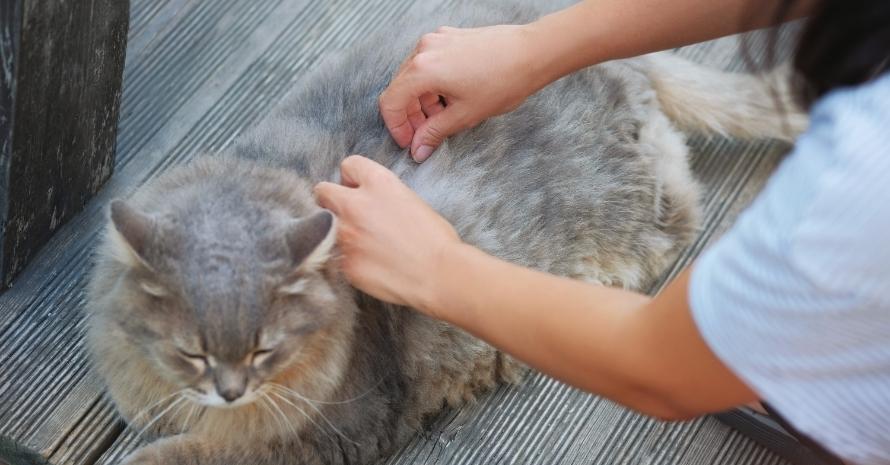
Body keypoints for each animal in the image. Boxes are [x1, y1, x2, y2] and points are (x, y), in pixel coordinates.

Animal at [85, 1, 804, 462]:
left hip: (637, 216)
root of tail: (624, 64)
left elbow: (187, 454)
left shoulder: (340, 429)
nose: (229, 389)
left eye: (265, 349)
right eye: (191, 352)